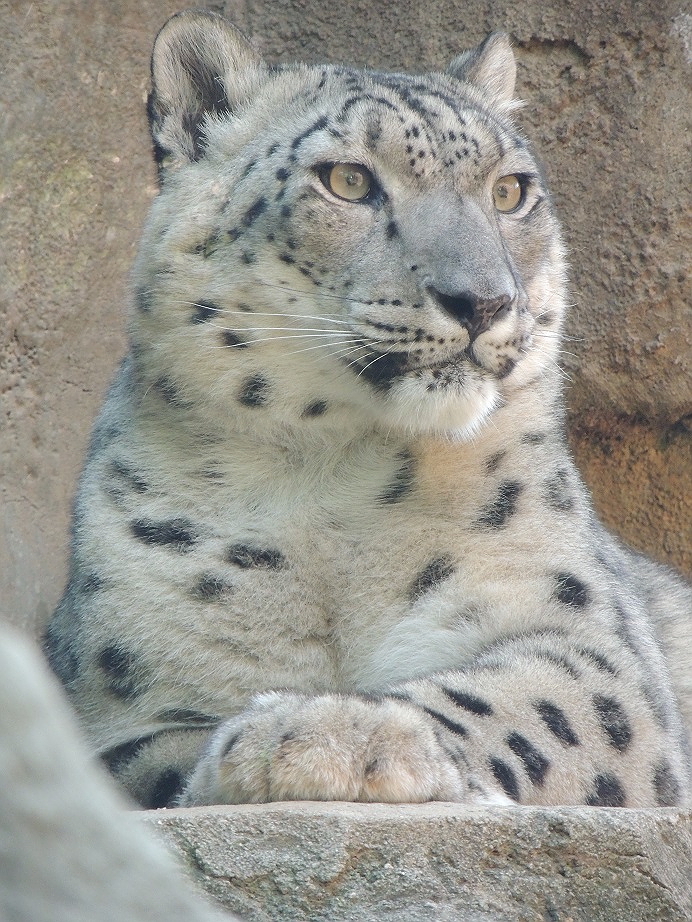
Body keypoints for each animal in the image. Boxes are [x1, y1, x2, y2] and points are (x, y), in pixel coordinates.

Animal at [43, 8, 691, 811]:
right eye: (348, 180)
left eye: (510, 191)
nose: (483, 301)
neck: (334, 478)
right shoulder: (124, 703)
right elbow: (153, 754)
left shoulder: (580, 631)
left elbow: (527, 700)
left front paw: (330, 732)